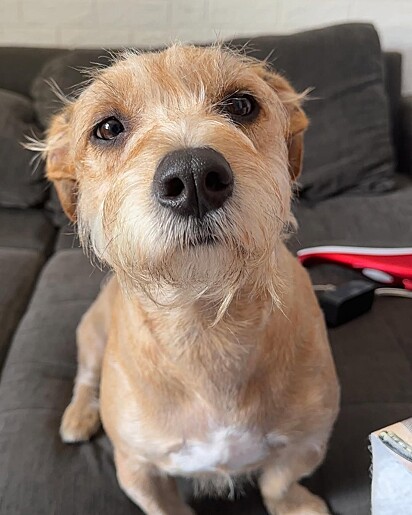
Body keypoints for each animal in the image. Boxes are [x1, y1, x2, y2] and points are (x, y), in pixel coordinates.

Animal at [39, 45, 342, 515]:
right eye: (108, 128)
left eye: (241, 105)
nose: (194, 176)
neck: (205, 318)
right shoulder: (136, 470)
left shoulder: (307, 440)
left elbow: (279, 482)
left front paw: (297, 506)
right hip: (90, 333)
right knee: (85, 377)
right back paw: (79, 415)